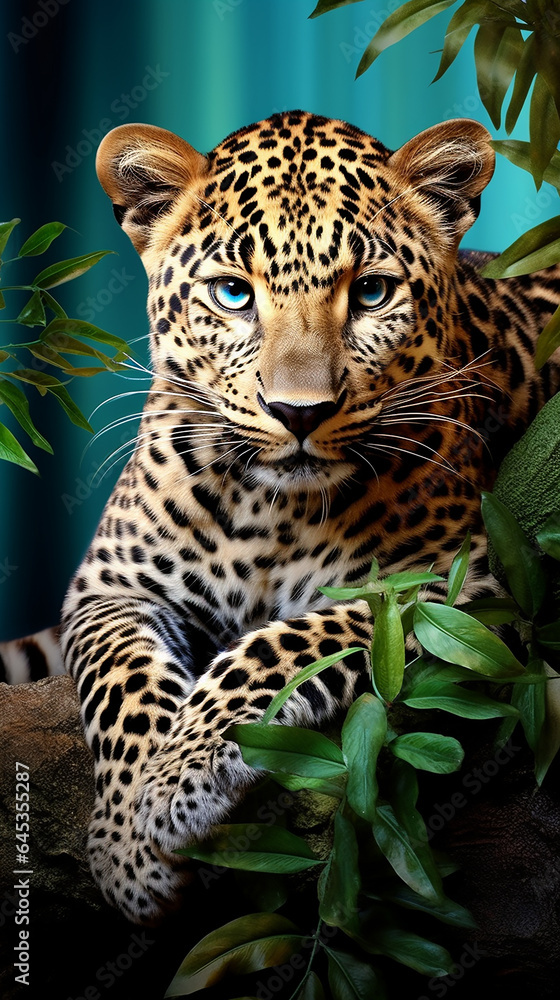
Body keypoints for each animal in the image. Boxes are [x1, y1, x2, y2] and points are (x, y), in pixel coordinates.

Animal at [37, 110, 560, 924]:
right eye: (231, 293)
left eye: (372, 292)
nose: (299, 412)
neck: (265, 510)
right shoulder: (110, 588)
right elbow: (122, 687)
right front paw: (128, 846)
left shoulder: (457, 585)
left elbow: (283, 644)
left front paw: (175, 780)